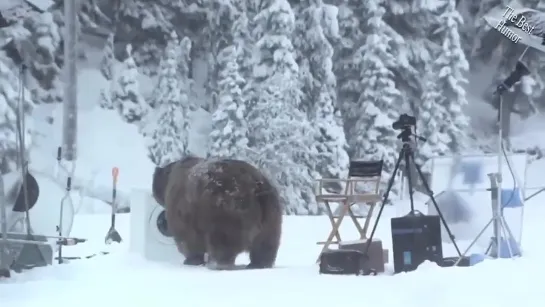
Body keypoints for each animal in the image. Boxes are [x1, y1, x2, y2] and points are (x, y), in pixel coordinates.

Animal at [151, 158, 282, 270]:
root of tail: (256, 185)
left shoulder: (183, 212)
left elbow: (187, 239)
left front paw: (191, 260)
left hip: (225, 209)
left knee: (223, 240)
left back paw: (217, 263)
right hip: (271, 212)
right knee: (265, 244)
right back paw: (258, 264)